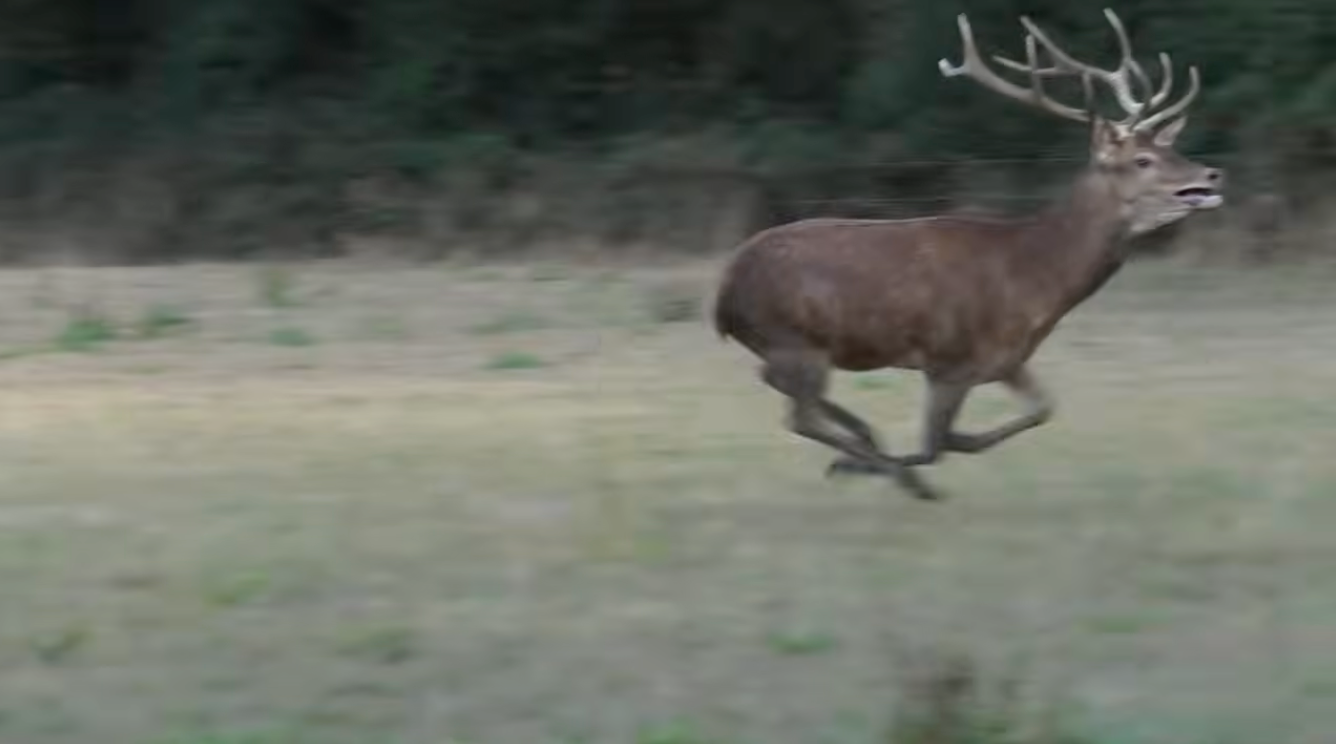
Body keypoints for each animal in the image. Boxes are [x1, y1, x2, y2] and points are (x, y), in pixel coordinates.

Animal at [710, 8, 1225, 501]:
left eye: (1172, 147)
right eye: (1142, 160)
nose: (1212, 174)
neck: (1035, 279)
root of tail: (724, 293)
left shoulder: (1006, 360)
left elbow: (1037, 411)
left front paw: (882, 461)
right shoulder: (948, 360)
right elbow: (936, 443)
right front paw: (883, 469)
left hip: (790, 346)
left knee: (776, 384)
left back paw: (869, 446)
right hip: (797, 338)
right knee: (798, 414)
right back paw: (888, 470)